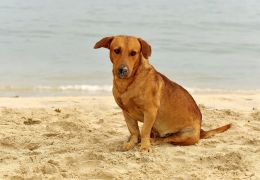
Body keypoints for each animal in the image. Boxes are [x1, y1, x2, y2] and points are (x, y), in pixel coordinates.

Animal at [94, 34, 232, 152]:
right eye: (117, 50)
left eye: (133, 53)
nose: (123, 70)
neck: (128, 83)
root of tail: (200, 131)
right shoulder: (126, 112)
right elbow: (134, 131)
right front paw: (131, 143)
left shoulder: (150, 111)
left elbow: (144, 131)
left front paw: (145, 147)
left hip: (182, 135)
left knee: (165, 139)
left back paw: (153, 141)